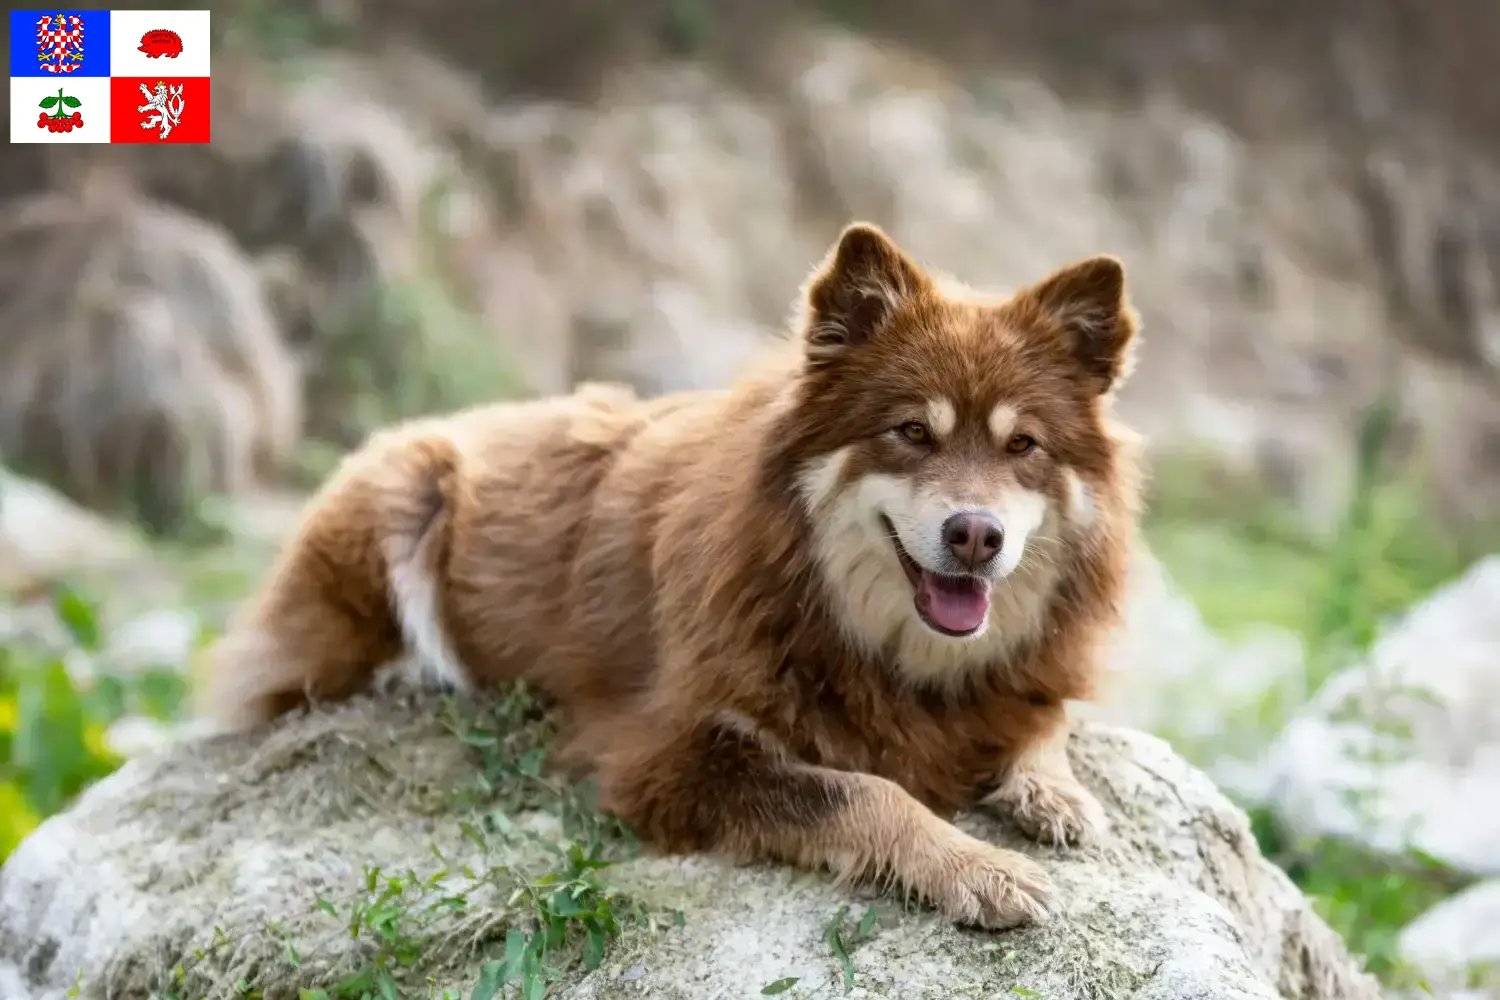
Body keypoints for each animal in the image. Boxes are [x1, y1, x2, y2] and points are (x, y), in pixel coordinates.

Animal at [199, 220, 1134, 929]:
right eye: (911, 432)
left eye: (1023, 446)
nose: (975, 537)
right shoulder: (665, 758)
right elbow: (861, 792)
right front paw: (976, 866)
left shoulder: (1021, 681)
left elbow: (1043, 722)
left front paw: (1054, 794)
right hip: (401, 494)